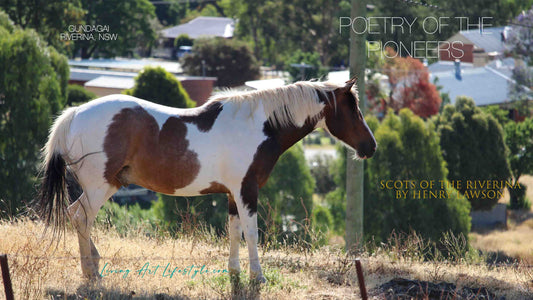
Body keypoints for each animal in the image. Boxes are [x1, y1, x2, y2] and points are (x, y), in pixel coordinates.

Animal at [36, 77, 374, 282]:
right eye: (354, 109)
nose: (370, 147)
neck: (259, 126)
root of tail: (74, 114)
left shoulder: (233, 194)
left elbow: (234, 232)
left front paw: (235, 272)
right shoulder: (247, 191)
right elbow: (252, 233)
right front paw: (258, 276)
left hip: (108, 185)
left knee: (76, 216)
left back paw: (94, 265)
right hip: (99, 187)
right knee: (81, 217)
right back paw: (91, 272)